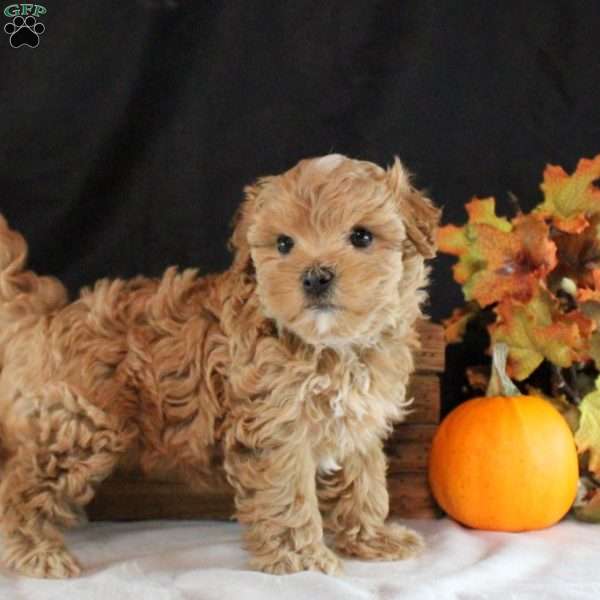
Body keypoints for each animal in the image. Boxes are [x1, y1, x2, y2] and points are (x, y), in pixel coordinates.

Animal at [0, 155, 440, 576]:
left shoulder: (356, 422)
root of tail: (47, 319)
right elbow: (288, 495)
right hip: (82, 429)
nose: (315, 277)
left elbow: (363, 482)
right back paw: (36, 552)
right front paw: (300, 559)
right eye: (284, 244)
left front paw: (373, 539)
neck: (328, 346)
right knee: (19, 489)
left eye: (362, 236)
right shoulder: (275, 430)